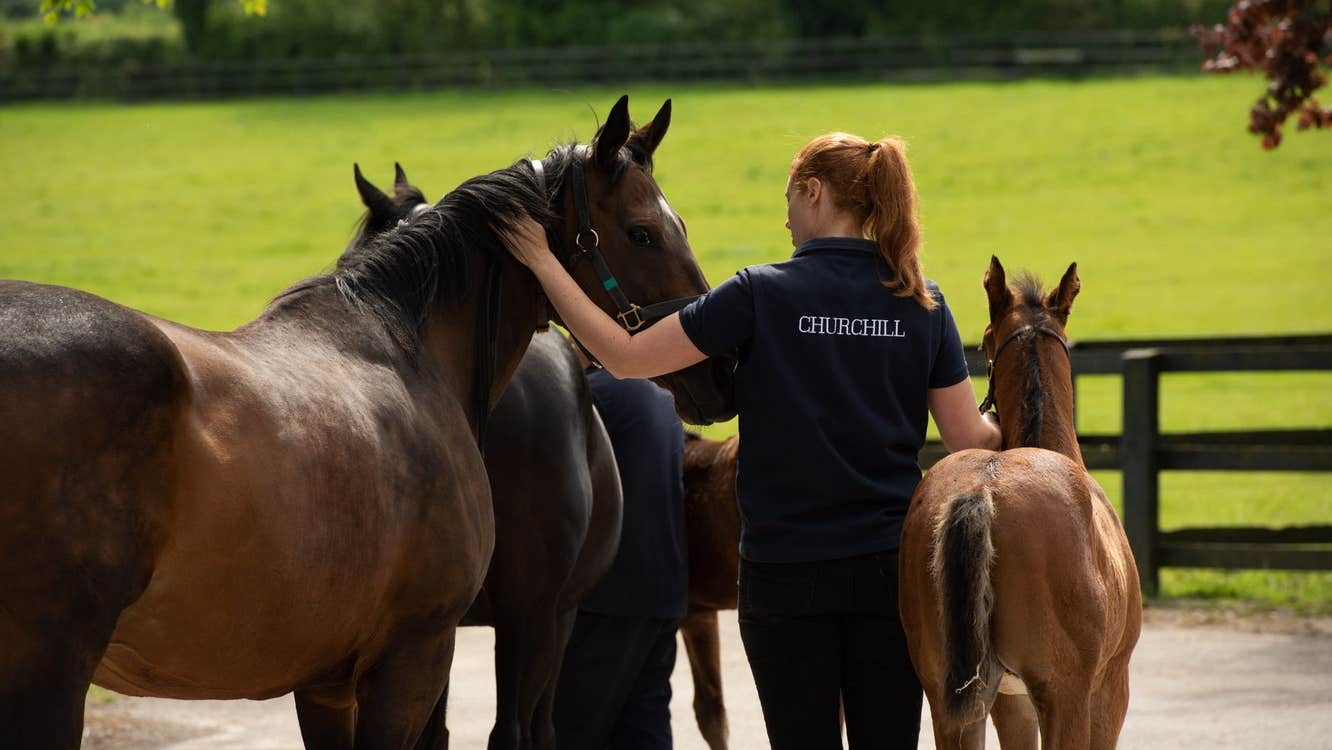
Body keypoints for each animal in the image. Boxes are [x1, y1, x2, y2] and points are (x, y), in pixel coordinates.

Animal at [898, 257, 1142, 749]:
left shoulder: (1010, 705)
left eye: (985, 339)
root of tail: (982, 490)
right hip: (1064, 694)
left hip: (952, 704)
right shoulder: (1109, 689)